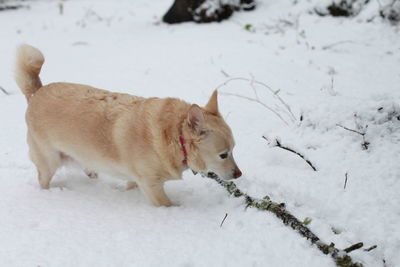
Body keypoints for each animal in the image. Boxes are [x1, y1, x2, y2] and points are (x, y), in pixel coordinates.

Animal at [14, 44, 241, 207]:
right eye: (223, 154)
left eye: (234, 149)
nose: (239, 175)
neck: (174, 136)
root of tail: (37, 92)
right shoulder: (152, 186)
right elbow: (167, 205)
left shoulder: (137, 180)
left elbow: (130, 186)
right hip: (48, 162)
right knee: (43, 180)